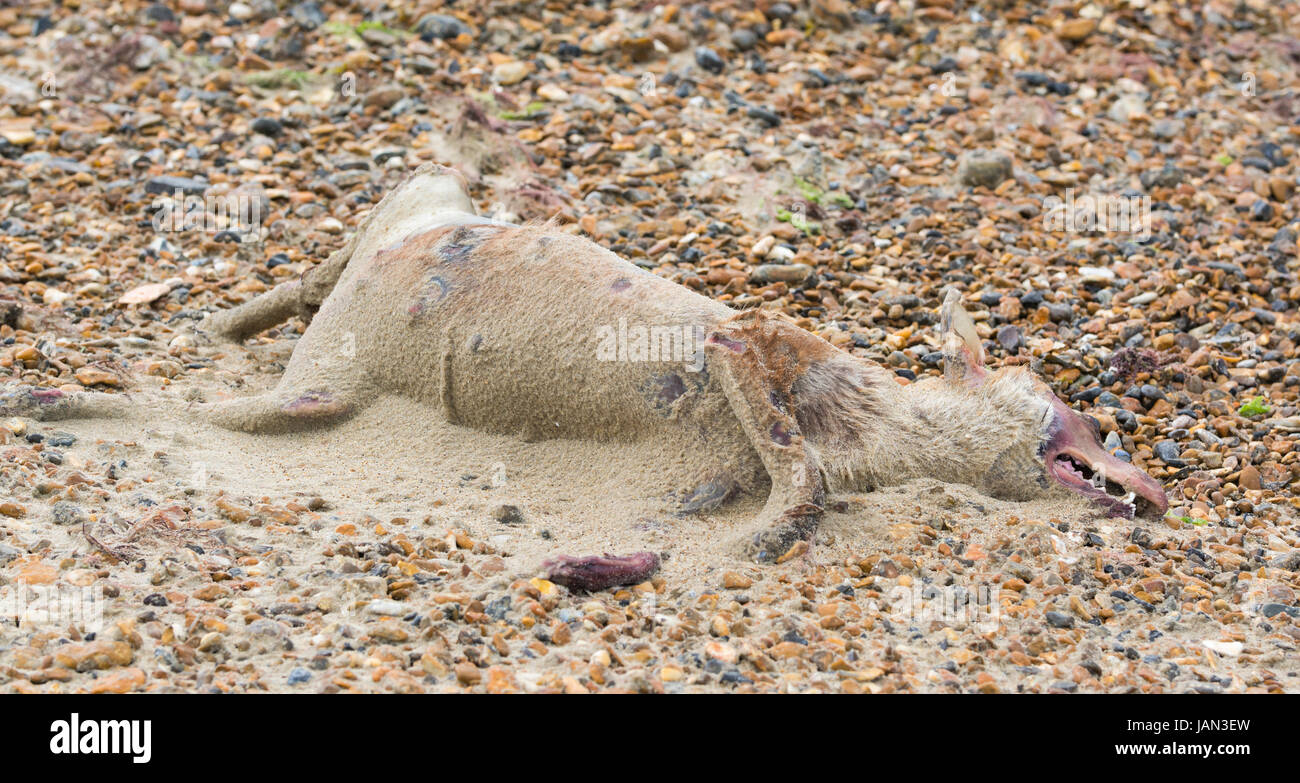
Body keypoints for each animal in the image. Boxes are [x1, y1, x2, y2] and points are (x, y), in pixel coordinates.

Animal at [2, 163, 1168, 590]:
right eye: (1071, 408)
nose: (1150, 486)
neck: (884, 420)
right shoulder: (757, 348)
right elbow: (791, 461)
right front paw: (758, 538)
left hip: (367, 308)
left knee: (337, 269)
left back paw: (208, 330)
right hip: (340, 358)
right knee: (242, 378)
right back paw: (66, 390)